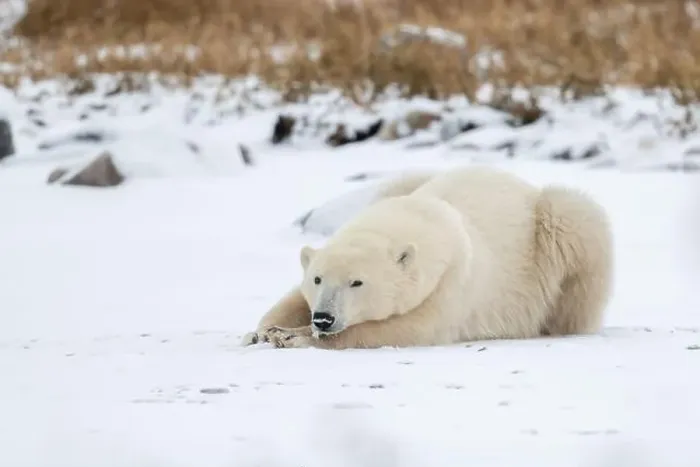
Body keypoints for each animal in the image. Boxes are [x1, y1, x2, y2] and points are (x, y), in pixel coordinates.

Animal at [241, 165, 613, 350]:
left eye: (357, 282)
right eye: (317, 278)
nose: (323, 319)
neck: (424, 216)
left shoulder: (452, 283)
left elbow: (404, 329)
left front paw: (295, 336)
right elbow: (291, 298)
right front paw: (262, 332)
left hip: (557, 231)